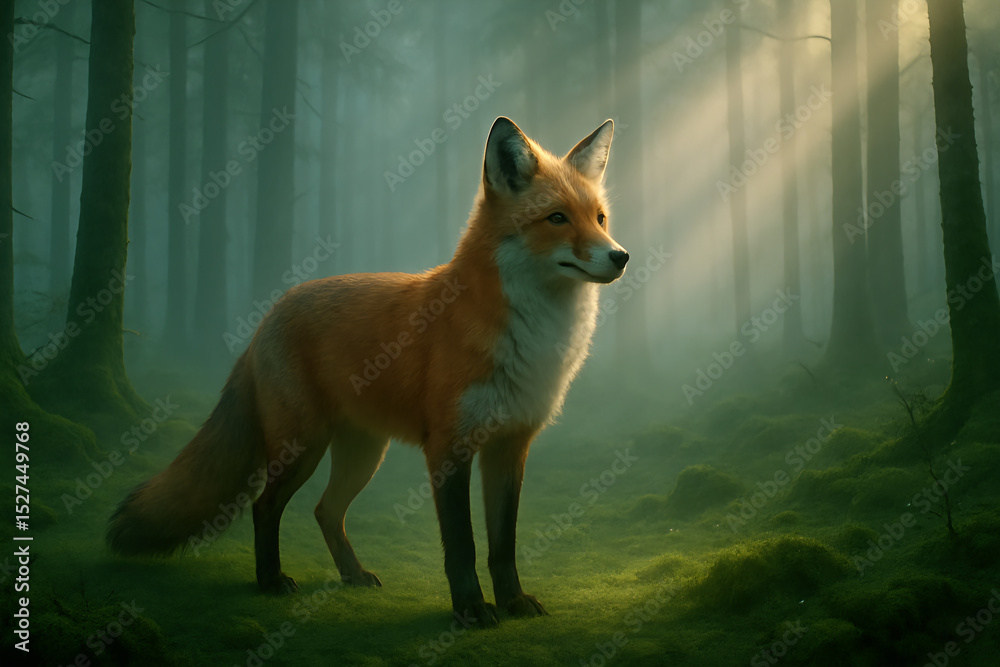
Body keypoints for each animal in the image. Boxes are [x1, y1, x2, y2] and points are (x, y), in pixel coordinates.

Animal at [107, 117, 628, 627]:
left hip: (362, 454)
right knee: (264, 506)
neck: (530, 336)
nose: (620, 256)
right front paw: (470, 609)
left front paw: (513, 602)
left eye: (600, 219)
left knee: (325, 511)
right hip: (302, 447)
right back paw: (270, 580)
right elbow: (462, 544)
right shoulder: (448, 447)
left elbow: (504, 544)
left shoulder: (510, 446)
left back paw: (352, 575)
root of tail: (269, 315)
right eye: (557, 218)